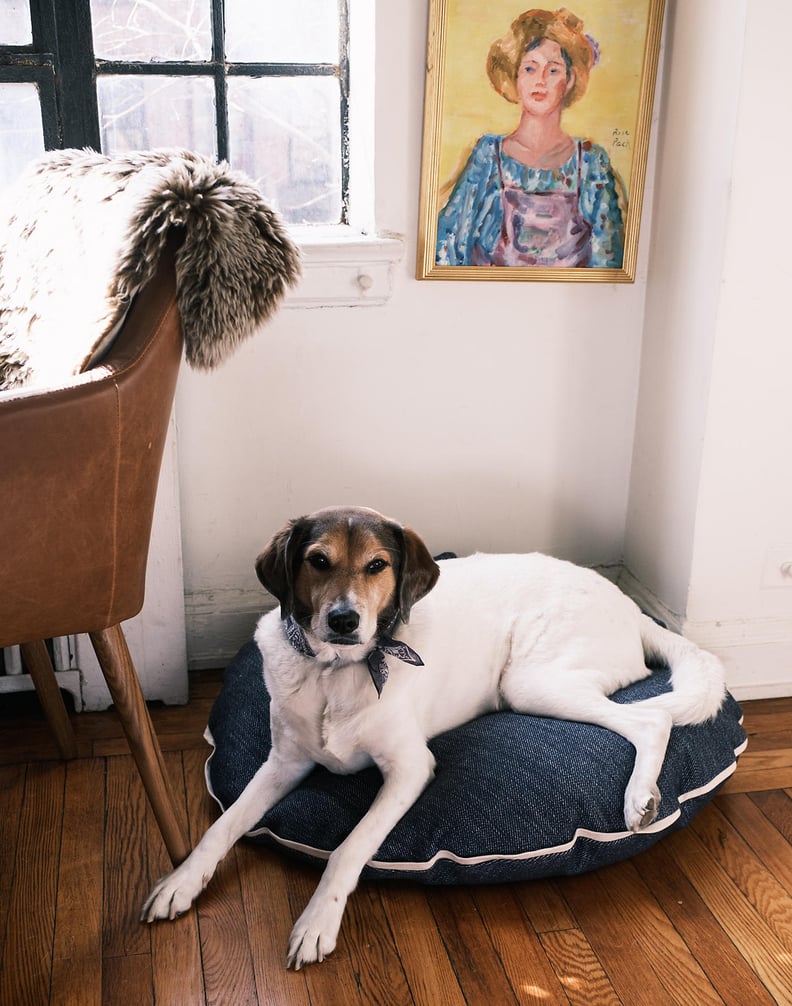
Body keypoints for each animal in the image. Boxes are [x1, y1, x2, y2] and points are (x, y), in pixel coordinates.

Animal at [140, 507, 724, 969]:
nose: (344, 619)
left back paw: (639, 799)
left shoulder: (409, 769)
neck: (336, 671)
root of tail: (629, 605)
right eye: (318, 560)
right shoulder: (282, 762)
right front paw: (180, 883)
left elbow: (348, 849)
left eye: (377, 565)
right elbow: (223, 827)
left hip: (531, 682)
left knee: (652, 720)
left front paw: (316, 924)